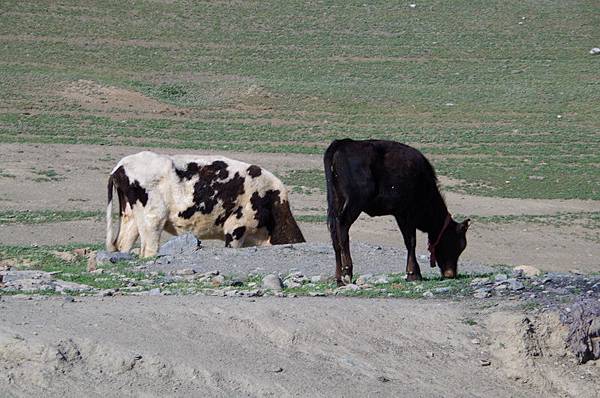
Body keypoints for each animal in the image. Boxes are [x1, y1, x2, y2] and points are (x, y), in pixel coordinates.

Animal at [103, 151, 308, 256]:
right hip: (153, 219)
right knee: (148, 250)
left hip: (131, 217)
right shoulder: (235, 229)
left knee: (123, 245)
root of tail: (121, 166)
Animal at [324, 138, 468, 284]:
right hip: (354, 202)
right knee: (342, 227)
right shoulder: (405, 213)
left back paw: (338, 277)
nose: (451, 274)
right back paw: (347, 273)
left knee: (334, 232)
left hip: (336, 200)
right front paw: (413, 273)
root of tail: (342, 143)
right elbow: (411, 241)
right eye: (458, 245)